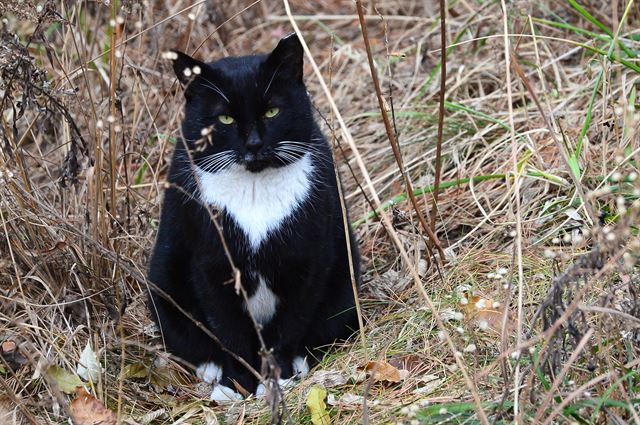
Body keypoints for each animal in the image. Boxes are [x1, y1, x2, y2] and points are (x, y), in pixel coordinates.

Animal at [148, 33, 362, 400]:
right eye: (225, 119)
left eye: (272, 110)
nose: (254, 144)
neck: (254, 188)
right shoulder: (212, 264)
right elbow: (228, 329)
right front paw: (239, 384)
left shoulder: (306, 259)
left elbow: (291, 323)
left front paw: (280, 376)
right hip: (162, 281)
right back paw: (212, 373)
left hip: (346, 281)